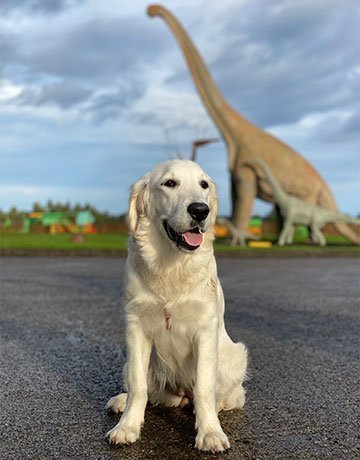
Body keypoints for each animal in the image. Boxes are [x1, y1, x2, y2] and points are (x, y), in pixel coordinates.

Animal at [107, 159, 248, 452]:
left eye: (203, 184)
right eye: (169, 183)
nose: (200, 210)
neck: (171, 266)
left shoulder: (205, 329)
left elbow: (204, 387)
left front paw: (210, 433)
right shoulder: (136, 326)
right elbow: (138, 385)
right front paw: (127, 427)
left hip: (234, 356)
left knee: (230, 396)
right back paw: (121, 401)